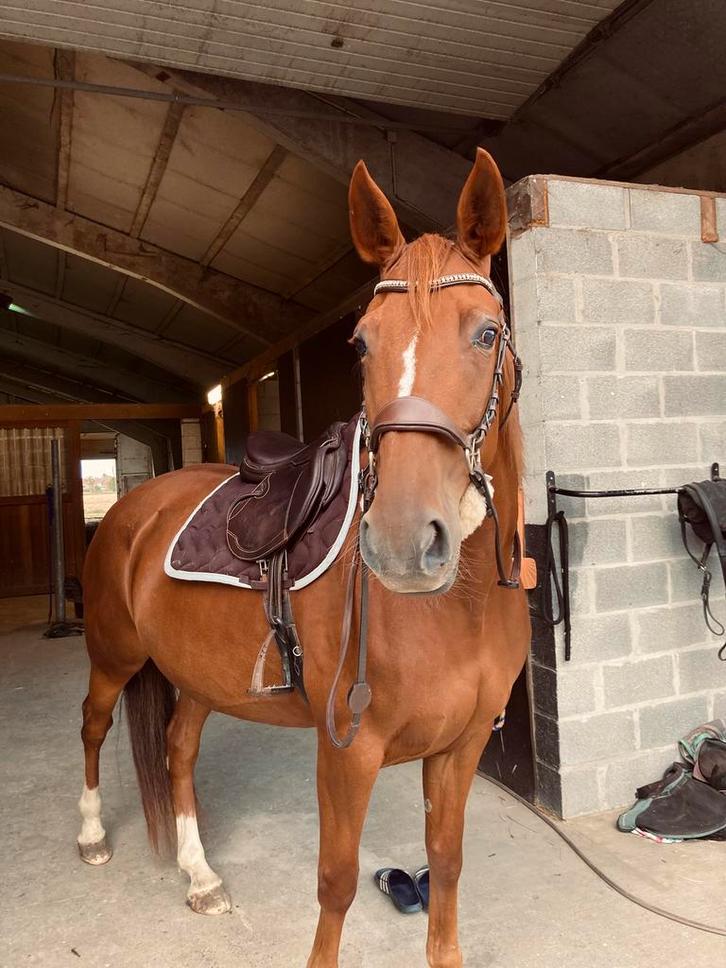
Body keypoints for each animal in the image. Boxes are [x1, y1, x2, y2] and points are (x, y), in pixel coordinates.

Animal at [78, 147, 531, 968]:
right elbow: (338, 883)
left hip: (197, 674)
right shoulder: (347, 751)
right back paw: (93, 834)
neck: (463, 604)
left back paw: (200, 877)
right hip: (113, 654)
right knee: (93, 726)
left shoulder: (461, 747)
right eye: (360, 343)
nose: (403, 543)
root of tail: (133, 506)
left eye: (486, 334)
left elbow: (445, 866)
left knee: (179, 752)